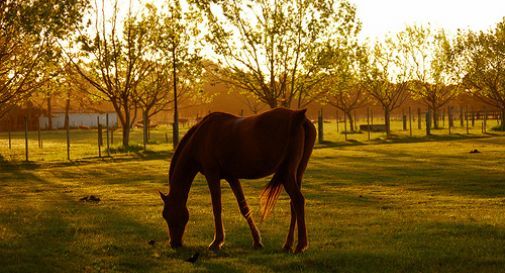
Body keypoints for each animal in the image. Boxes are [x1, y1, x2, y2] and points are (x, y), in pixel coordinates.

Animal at [158, 107, 316, 252]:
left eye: (167, 214)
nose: (174, 243)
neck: (201, 137)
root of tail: (298, 116)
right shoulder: (231, 177)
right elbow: (244, 207)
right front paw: (257, 241)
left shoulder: (212, 174)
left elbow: (216, 207)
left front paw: (217, 242)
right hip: (297, 173)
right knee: (294, 204)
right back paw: (288, 244)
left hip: (287, 174)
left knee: (298, 200)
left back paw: (300, 245)